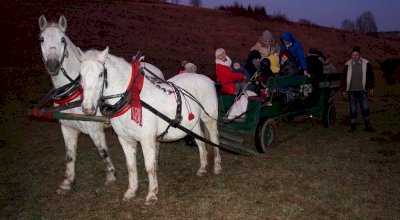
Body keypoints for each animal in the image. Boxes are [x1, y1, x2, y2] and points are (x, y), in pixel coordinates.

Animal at [38, 15, 165, 194]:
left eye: (62, 39)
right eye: (41, 39)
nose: (52, 64)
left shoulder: (94, 129)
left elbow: (102, 152)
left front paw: (111, 175)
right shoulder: (67, 127)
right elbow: (69, 155)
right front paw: (67, 182)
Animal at [77, 46, 222, 205]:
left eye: (101, 74)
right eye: (80, 75)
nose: (88, 108)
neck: (132, 97)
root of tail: (207, 79)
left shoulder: (147, 140)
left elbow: (150, 166)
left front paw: (152, 194)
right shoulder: (125, 139)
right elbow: (131, 167)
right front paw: (131, 191)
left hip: (209, 119)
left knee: (214, 139)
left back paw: (217, 166)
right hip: (192, 124)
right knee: (201, 143)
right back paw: (202, 168)